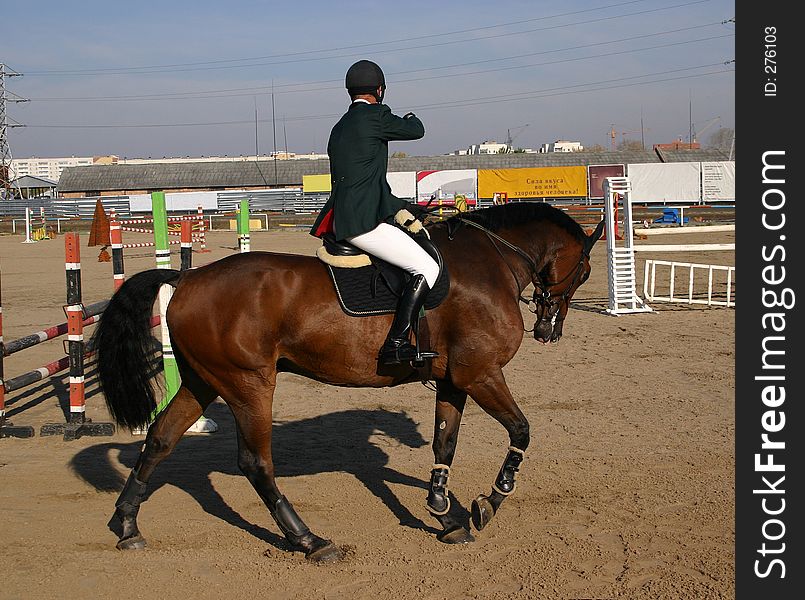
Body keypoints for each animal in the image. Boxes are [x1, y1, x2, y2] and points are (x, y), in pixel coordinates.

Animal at [92, 202, 604, 564]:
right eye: (584, 271)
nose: (549, 331)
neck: (492, 260)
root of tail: (188, 278)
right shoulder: (481, 374)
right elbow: (521, 431)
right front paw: (488, 504)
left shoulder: (454, 380)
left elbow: (445, 444)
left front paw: (444, 513)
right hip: (248, 385)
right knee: (256, 463)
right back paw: (309, 540)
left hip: (204, 381)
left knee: (160, 439)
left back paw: (127, 525)